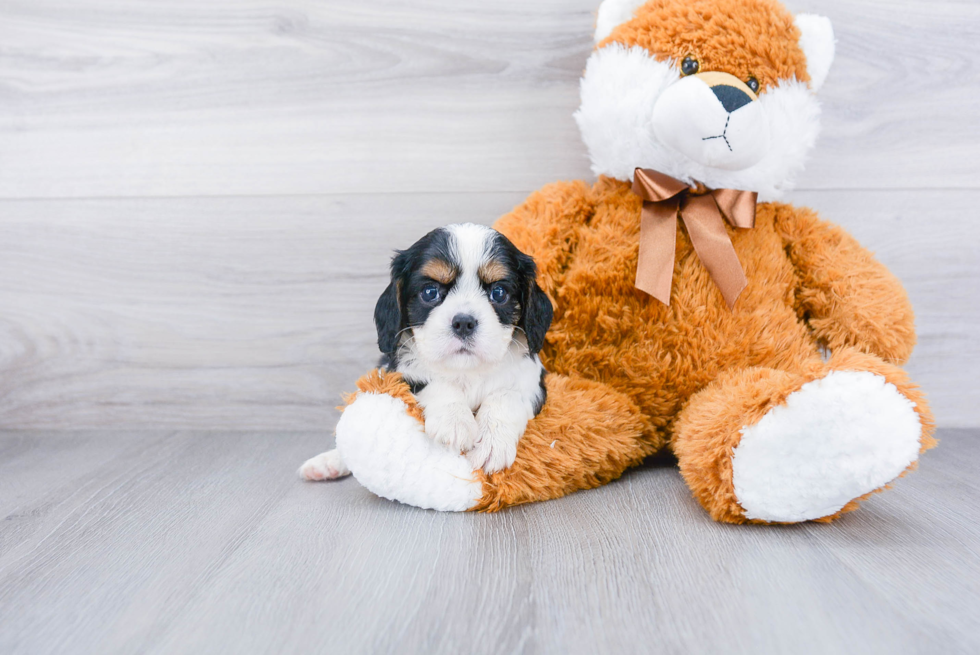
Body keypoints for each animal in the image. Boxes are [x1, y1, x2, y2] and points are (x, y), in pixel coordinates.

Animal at [298, 222, 552, 482]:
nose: (463, 322)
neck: (466, 371)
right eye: (430, 292)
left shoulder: (532, 382)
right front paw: (455, 421)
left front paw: (492, 443)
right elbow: (434, 384)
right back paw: (328, 462)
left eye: (499, 293)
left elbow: (506, 396)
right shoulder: (399, 373)